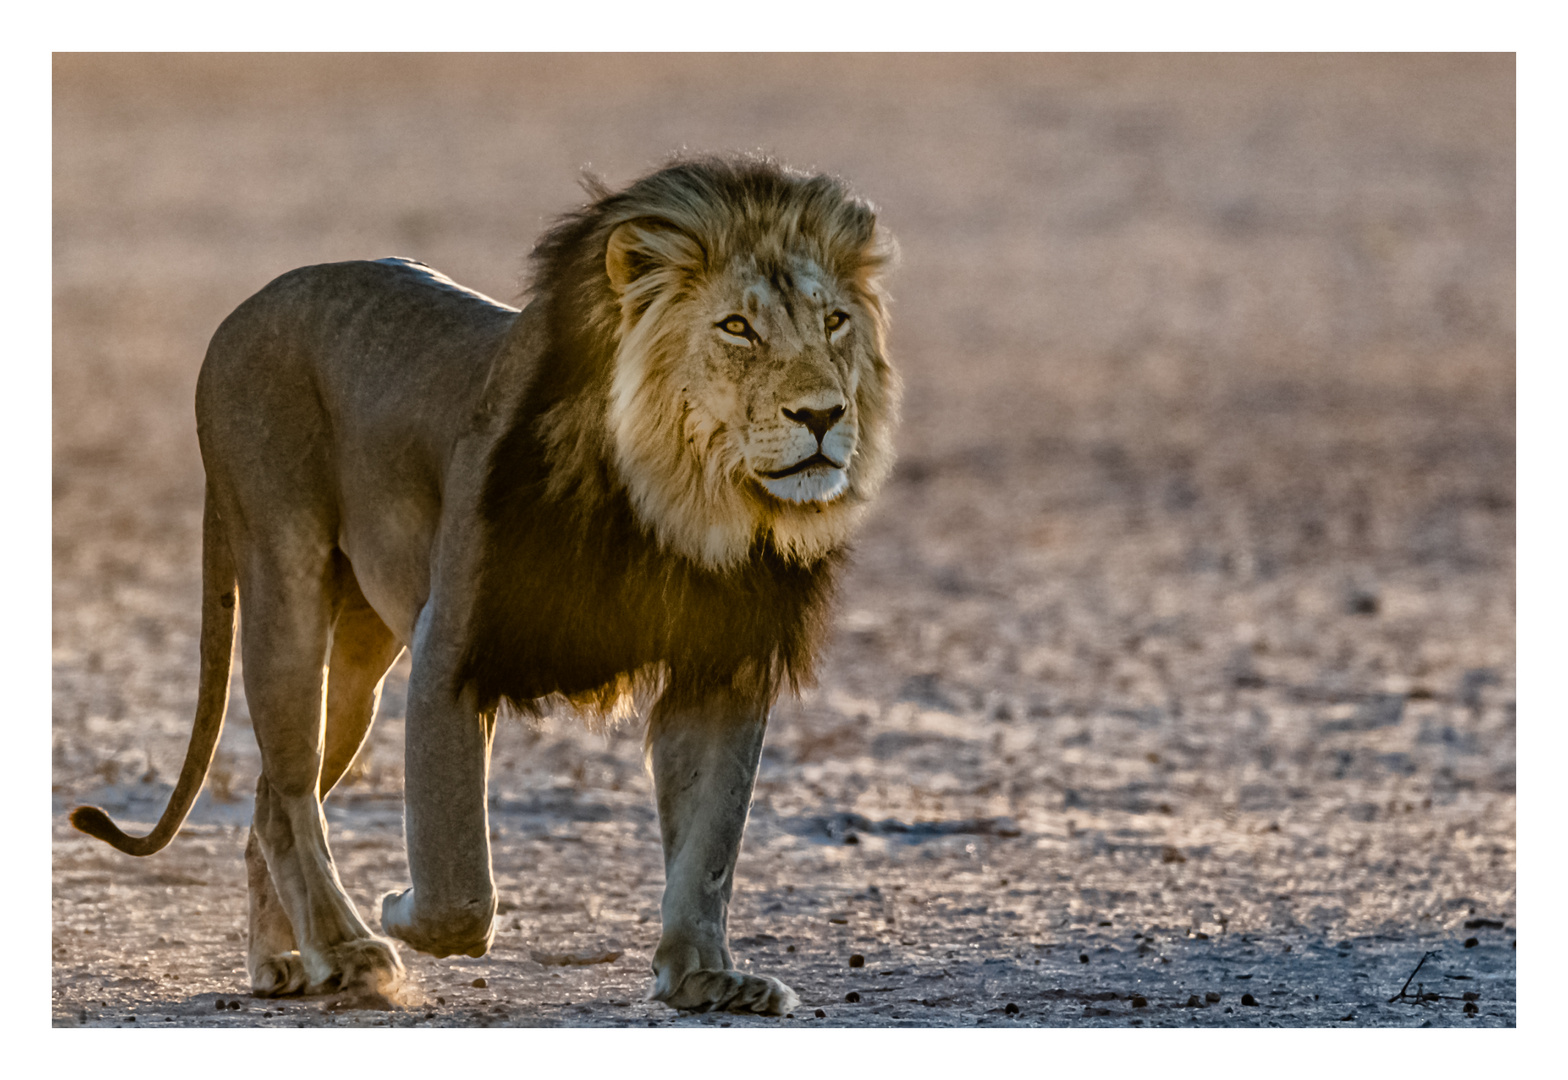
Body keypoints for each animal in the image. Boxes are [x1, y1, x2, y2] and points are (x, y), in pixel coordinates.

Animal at [73, 155, 903, 1015]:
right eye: (736, 327)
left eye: (835, 321)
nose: (822, 415)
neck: (678, 503)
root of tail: (247, 307)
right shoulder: (453, 640)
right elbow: (457, 879)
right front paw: (400, 908)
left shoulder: (724, 665)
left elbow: (711, 840)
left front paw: (704, 974)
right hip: (283, 577)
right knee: (291, 792)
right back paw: (350, 950)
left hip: (360, 661)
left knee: (272, 790)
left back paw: (289, 960)